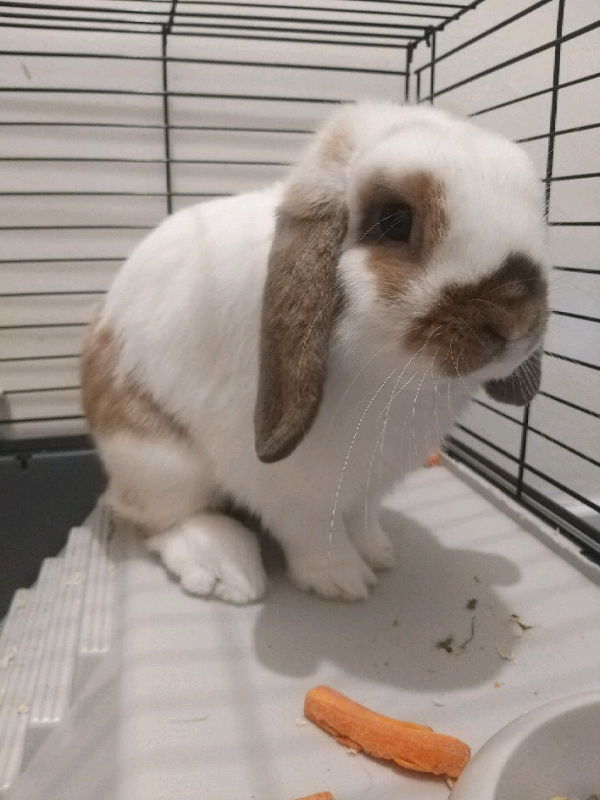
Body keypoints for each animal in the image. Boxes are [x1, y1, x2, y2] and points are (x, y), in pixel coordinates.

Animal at [81, 102, 549, 603]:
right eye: (394, 220)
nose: (515, 320)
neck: (396, 377)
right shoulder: (291, 488)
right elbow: (314, 533)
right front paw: (342, 579)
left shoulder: (369, 483)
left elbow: (362, 518)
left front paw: (378, 552)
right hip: (159, 461)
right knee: (161, 517)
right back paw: (227, 570)